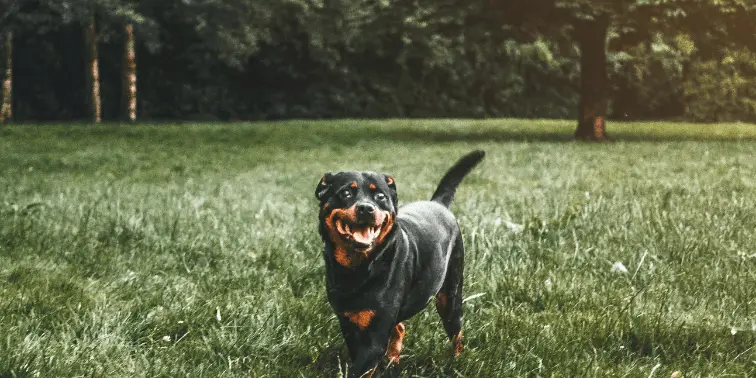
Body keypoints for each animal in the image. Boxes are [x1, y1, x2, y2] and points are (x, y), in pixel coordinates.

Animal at [314, 149, 484, 376]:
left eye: (380, 196)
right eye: (346, 193)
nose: (366, 208)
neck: (360, 268)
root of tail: (438, 203)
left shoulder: (375, 337)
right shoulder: (350, 324)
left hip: (450, 295)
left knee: (456, 332)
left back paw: (455, 361)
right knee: (400, 328)